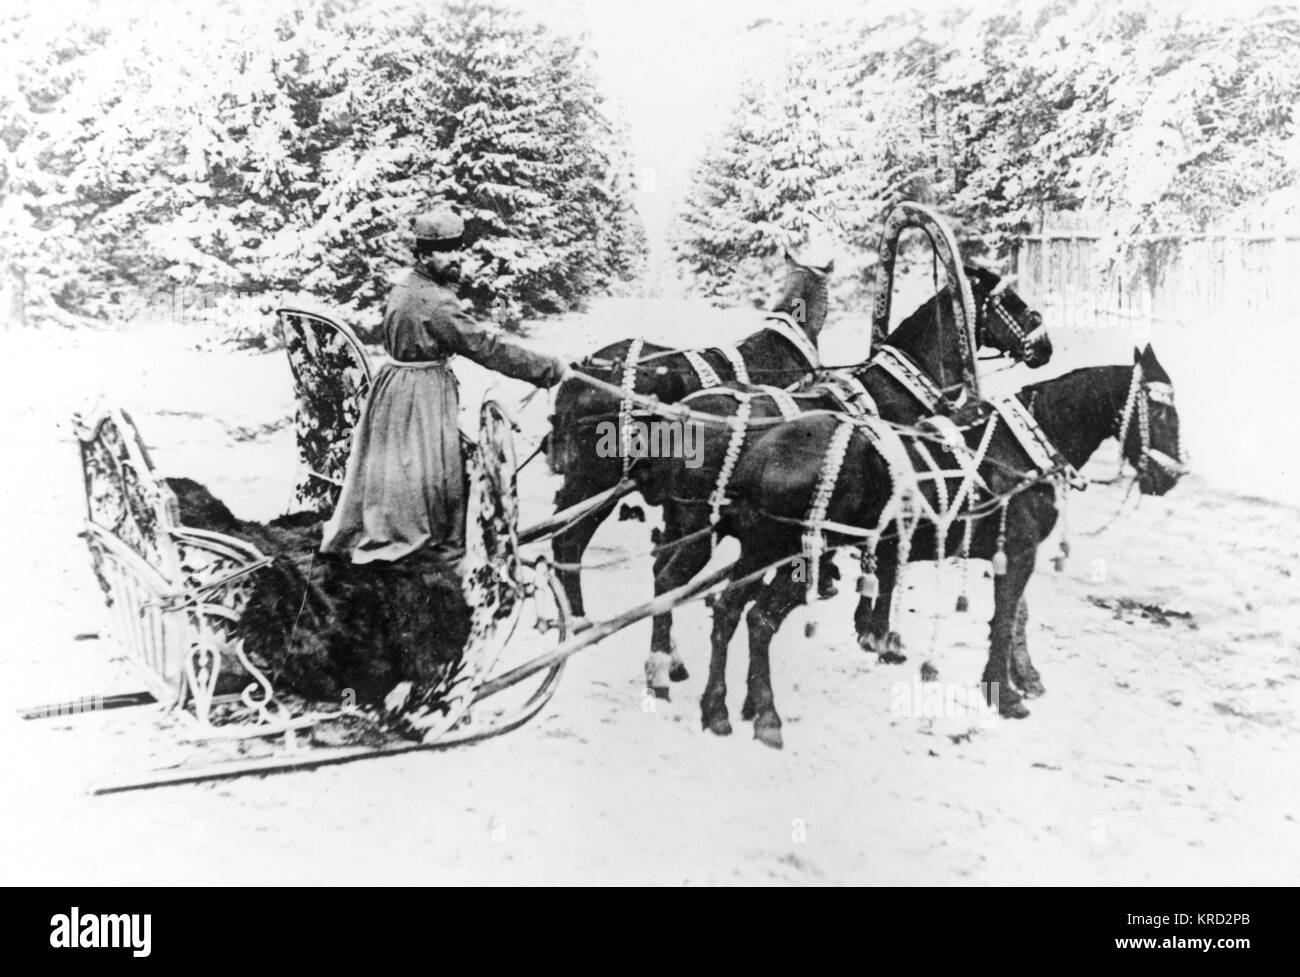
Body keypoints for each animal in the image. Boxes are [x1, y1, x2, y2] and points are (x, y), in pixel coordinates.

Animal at [624, 263, 1050, 696]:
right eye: (1011, 300)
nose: (1046, 346)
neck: (896, 389)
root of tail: (677, 418)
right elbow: (886, 566)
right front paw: (877, 634)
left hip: (680, 520)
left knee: (660, 573)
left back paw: (670, 661)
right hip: (700, 525)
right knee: (668, 578)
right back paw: (661, 669)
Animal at [707, 345, 1185, 748]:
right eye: (1163, 413)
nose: (1172, 476)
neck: (1020, 451)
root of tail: (761, 453)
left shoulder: (1012, 554)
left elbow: (1016, 617)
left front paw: (1022, 677)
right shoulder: (1019, 553)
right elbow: (1005, 619)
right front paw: (1004, 694)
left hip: (758, 553)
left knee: (728, 610)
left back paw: (719, 707)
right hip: (799, 557)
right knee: (760, 620)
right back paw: (766, 714)